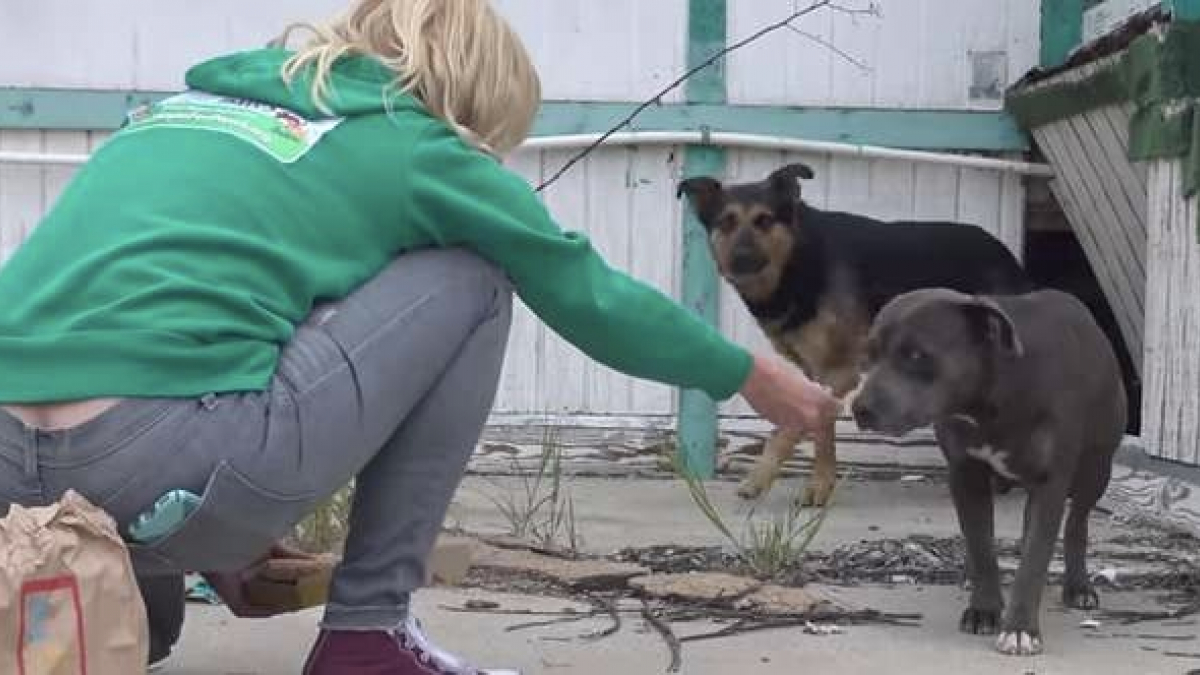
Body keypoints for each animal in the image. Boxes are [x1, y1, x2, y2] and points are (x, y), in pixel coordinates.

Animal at [676, 164, 1032, 504]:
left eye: (764, 220)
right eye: (725, 222)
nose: (740, 260)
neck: (799, 260)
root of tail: (1009, 258)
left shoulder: (838, 373)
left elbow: (795, 428)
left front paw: (777, 479)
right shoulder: (817, 375)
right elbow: (818, 428)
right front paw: (815, 483)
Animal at [854, 285, 1123, 653]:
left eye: (917, 355)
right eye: (870, 353)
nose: (859, 409)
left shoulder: (1050, 484)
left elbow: (1034, 559)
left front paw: (1021, 628)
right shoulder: (966, 477)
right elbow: (981, 545)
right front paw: (984, 609)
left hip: (1096, 470)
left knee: (1076, 524)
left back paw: (1078, 585)